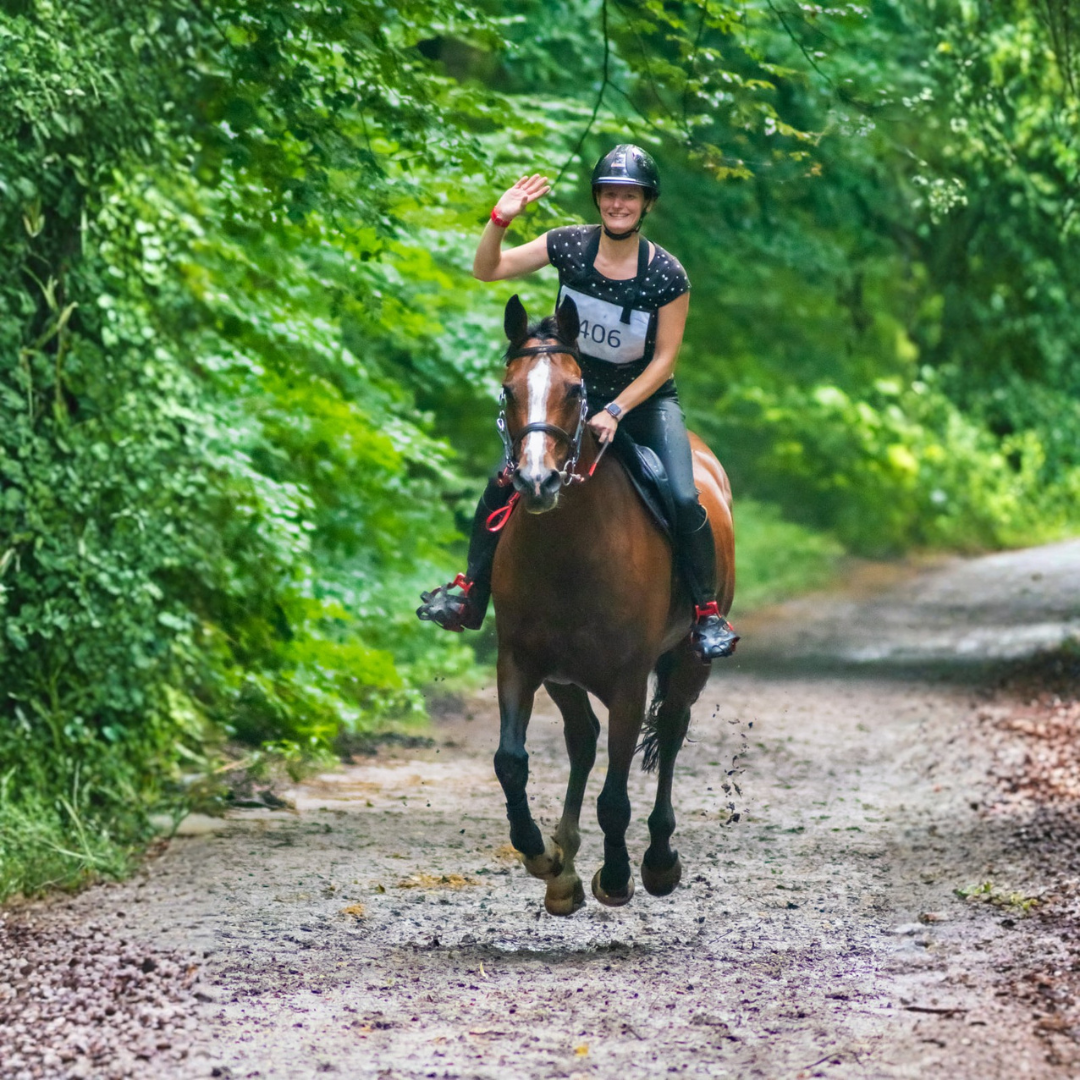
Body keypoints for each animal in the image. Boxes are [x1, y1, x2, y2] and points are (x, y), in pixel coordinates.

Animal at [487, 293, 736, 916]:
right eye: (508, 389)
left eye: (577, 389)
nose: (537, 481)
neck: (569, 548)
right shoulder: (520, 663)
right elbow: (511, 762)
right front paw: (542, 857)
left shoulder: (627, 680)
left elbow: (616, 798)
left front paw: (618, 876)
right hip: (564, 677)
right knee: (582, 739)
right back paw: (564, 867)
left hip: (689, 659)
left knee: (669, 729)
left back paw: (658, 860)